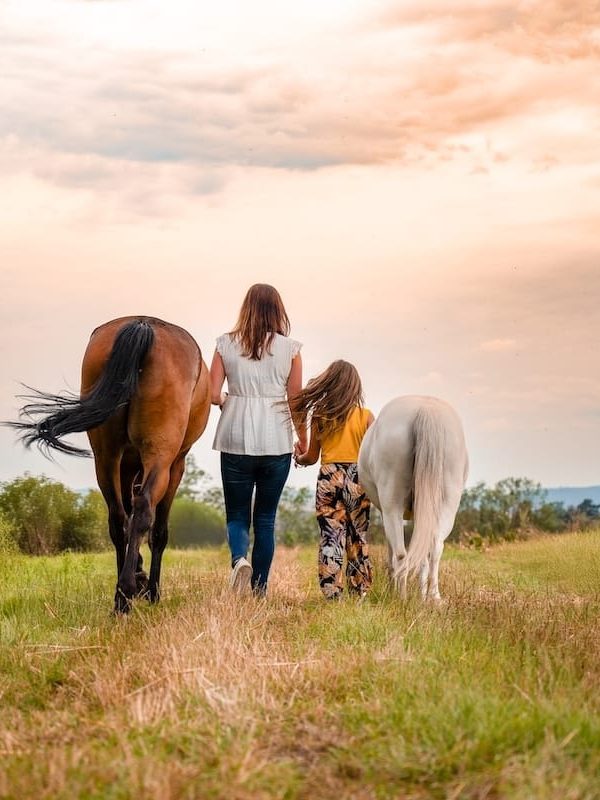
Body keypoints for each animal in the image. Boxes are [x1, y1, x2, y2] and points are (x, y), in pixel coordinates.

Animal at [8, 316, 211, 613]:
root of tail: (143, 324)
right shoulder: (177, 464)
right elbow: (158, 531)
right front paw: (150, 589)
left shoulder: (126, 465)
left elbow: (126, 516)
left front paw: (139, 574)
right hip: (160, 456)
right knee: (143, 511)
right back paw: (129, 591)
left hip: (105, 456)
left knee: (118, 518)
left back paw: (122, 596)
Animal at [358, 395, 468, 601]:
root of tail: (426, 409)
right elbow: (423, 555)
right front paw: (422, 595)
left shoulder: (386, 513)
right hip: (447, 503)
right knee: (435, 547)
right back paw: (433, 597)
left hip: (392, 506)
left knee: (400, 553)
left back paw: (401, 597)